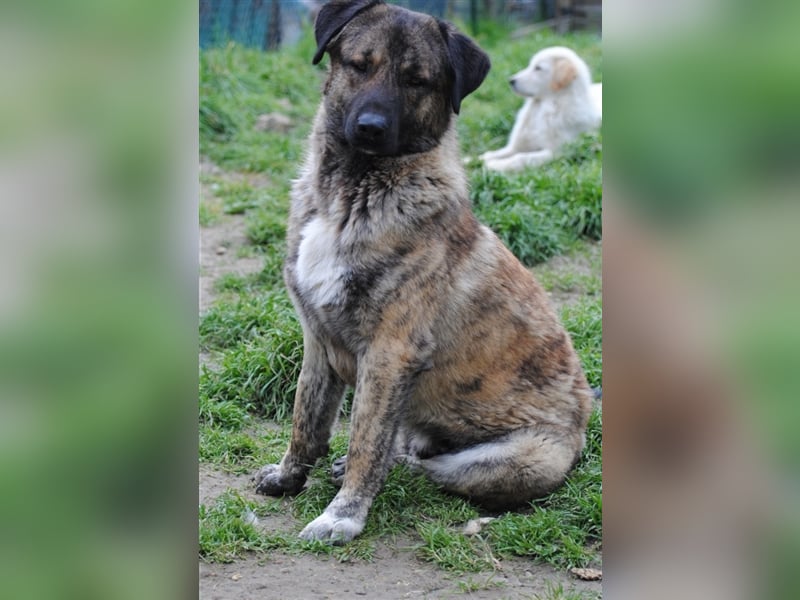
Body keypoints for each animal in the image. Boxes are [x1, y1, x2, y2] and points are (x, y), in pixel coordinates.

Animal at [253, 0, 594, 544]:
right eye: (359, 64)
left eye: (418, 80)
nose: (370, 127)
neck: (350, 195)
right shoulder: (317, 339)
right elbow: (306, 419)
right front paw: (288, 477)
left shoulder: (389, 353)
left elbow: (366, 442)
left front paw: (342, 516)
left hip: (511, 460)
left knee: (423, 467)